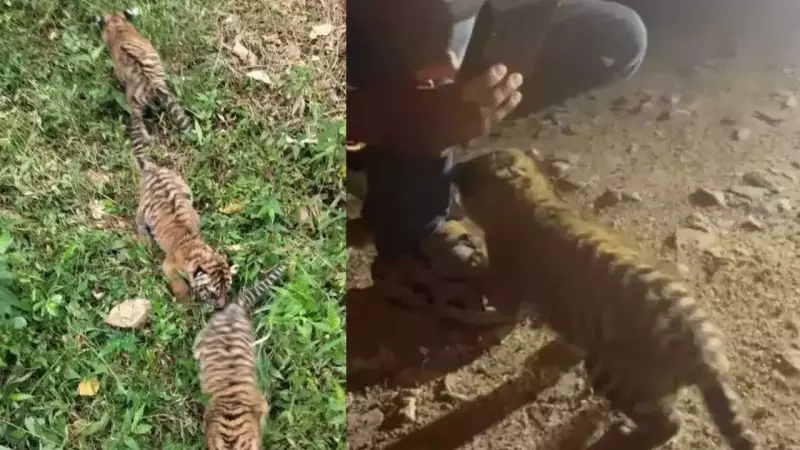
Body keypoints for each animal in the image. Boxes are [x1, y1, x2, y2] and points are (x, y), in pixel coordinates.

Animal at [97, 9, 193, 154]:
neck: (118, 27)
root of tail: (151, 83)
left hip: (134, 107)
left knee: (139, 126)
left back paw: (148, 139)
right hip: (168, 96)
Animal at [452, 148, 759, 450]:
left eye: (468, 173)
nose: (453, 169)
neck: (531, 196)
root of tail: (702, 348)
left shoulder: (507, 288)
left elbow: (486, 285)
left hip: (617, 378)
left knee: (669, 423)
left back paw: (630, 435)